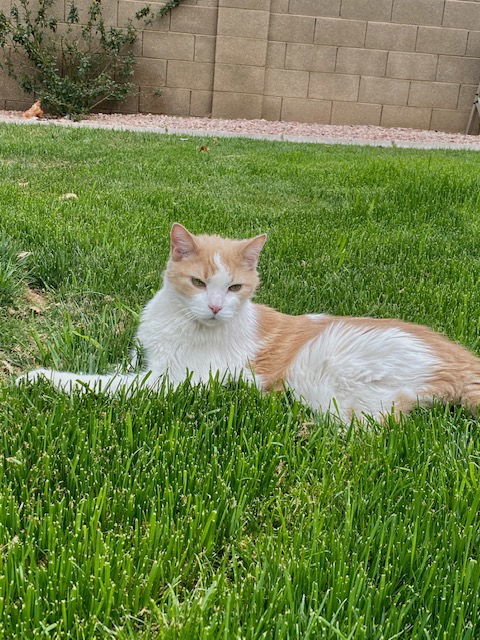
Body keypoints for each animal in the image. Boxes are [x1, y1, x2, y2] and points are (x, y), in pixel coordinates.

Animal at [16, 222, 480, 422]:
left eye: (235, 287)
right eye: (198, 282)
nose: (216, 307)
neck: (180, 321)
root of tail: (464, 360)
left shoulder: (168, 381)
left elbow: (99, 383)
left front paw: (40, 378)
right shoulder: (146, 360)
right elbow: (119, 366)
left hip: (323, 376)